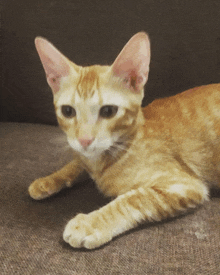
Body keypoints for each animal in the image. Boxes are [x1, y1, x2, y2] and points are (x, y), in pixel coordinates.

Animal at [28, 32, 219, 250]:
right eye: (68, 111)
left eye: (108, 111)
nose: (85, 139)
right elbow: (76, 162)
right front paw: (48, 180)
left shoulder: (184, 184)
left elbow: (133, 198)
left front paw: (90, 223)